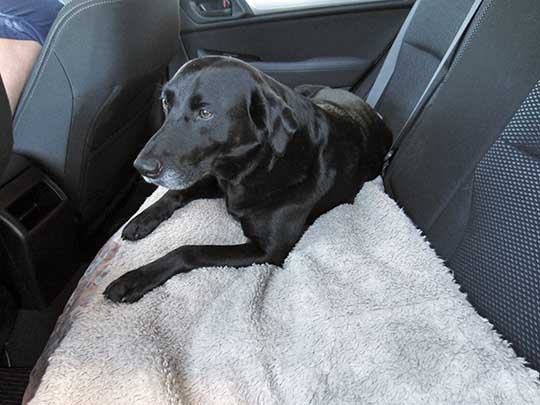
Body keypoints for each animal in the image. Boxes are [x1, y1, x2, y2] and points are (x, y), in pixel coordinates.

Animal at [103, 56, 390, 304]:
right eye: (165, 102)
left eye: (205, 113)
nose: (141, 167)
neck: (255, 164)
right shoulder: (216, 179)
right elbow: (176, 193)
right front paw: (141, 219)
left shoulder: (267, 251)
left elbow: (189, 250)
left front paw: (133, 280)